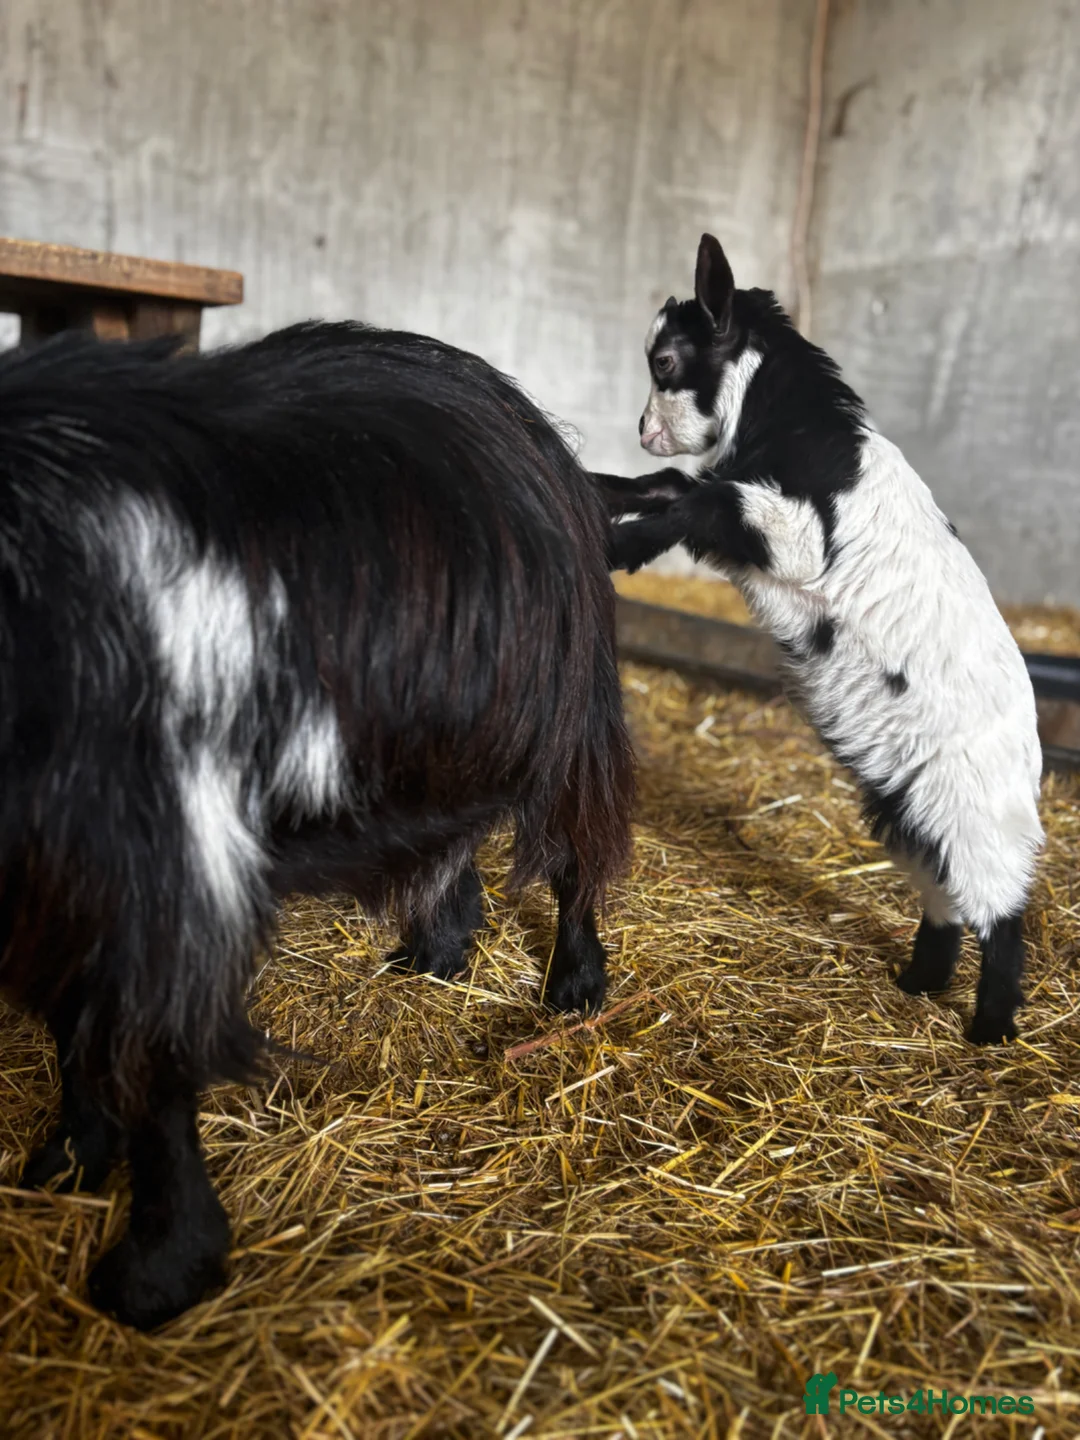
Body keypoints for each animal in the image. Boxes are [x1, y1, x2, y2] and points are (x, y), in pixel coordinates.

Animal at [0, 321, 634, 1329]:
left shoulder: (159, 863)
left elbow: (150, 1066)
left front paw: (159, 1268)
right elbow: (81, 1033)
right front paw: (69, 1160)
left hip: (575, 719)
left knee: (577, 854)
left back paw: (574, 984)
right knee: (453, 836)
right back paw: (440, 951)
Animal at [600, 234, 1043, 1045]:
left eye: (667, 362)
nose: (643, 432)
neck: (797, 432)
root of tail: (1028, 759)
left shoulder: (796, 537)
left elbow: (701, 497)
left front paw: (617, 547)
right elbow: (682, 486)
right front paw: (611, 493)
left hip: (974, 811)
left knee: (1001, 914)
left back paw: (990, 1029)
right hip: (909, 809)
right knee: (943, 898)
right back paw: (919, 985)